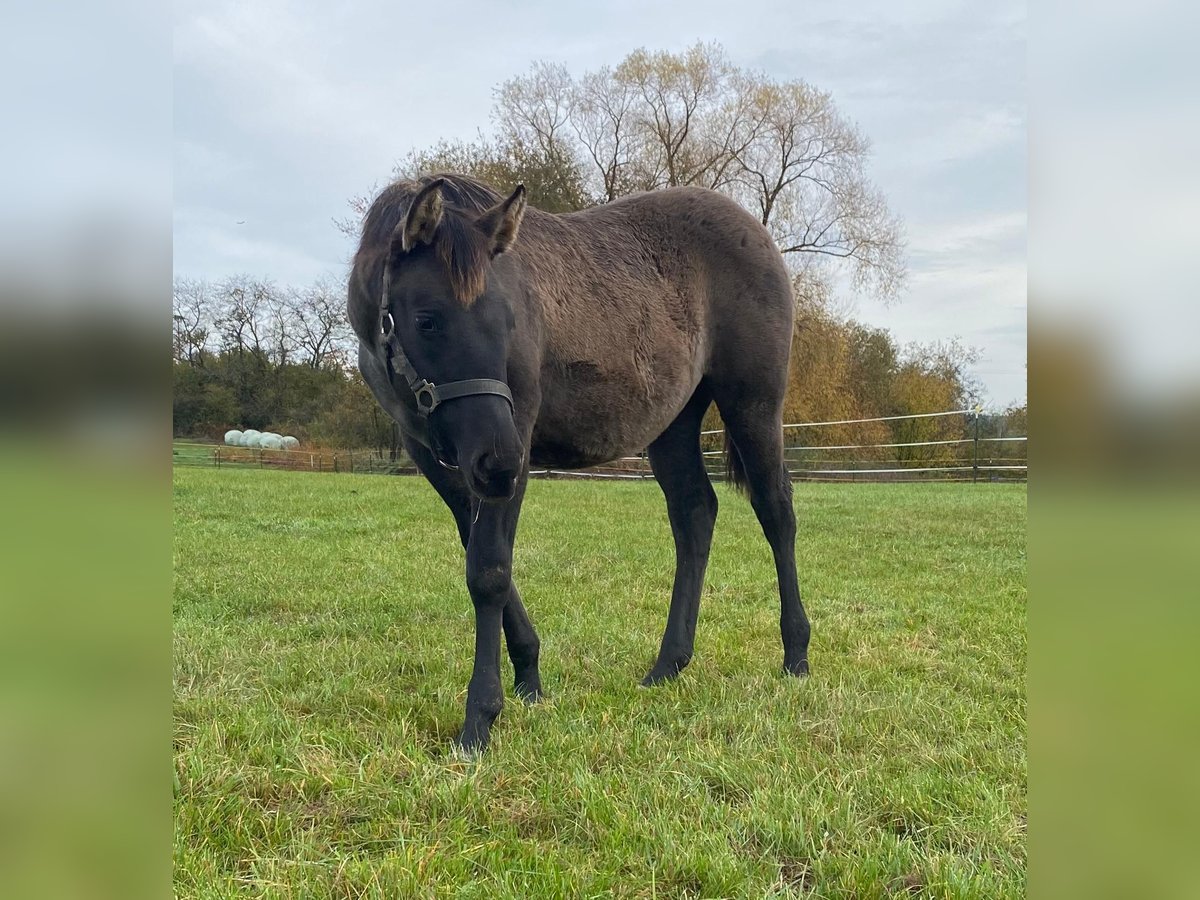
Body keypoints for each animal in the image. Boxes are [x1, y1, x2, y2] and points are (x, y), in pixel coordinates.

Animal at [350, 172, 816, 748]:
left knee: (776, 512)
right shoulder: (436, 456)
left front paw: (480, 718)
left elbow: (489, 569)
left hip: (753, 404)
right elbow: (481, 557)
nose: (500, 463)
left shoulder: (513, 439)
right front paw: (528, 676)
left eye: (509, 321)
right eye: (427, 320)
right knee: (695, 514)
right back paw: (668, 665)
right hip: (672, 424)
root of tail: (758, 232)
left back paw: (795, 654)